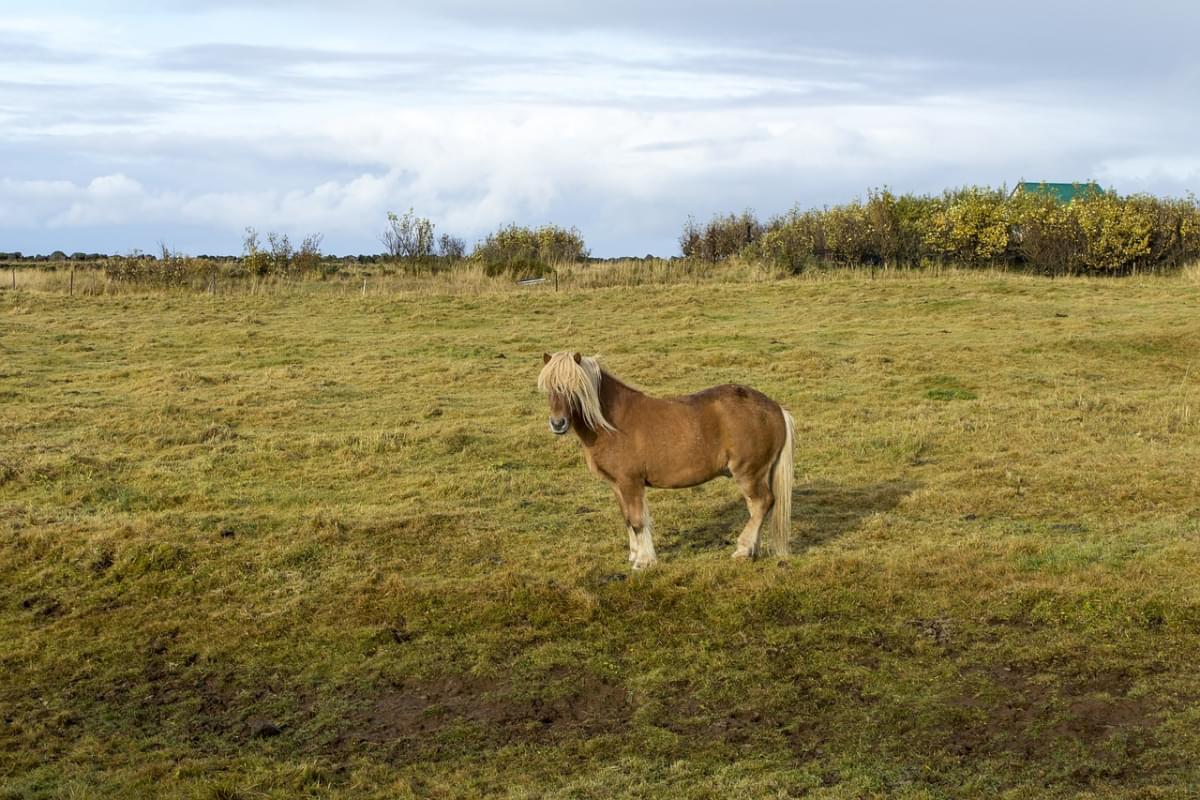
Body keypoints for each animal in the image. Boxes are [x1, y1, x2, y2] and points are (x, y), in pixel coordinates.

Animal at [540, 352, 792, 568]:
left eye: (575, 387)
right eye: (549, 388)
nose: (558, 424)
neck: (612, 423)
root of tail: (775, 408)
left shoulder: (631, 483)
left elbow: (638, 521)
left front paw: (643, 561)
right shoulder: (617, 485)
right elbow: (628, 520)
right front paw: (634, 556)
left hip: (748, 473)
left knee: (762, 503)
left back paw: (742, 550)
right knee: (755, 507)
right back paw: (751, 550)